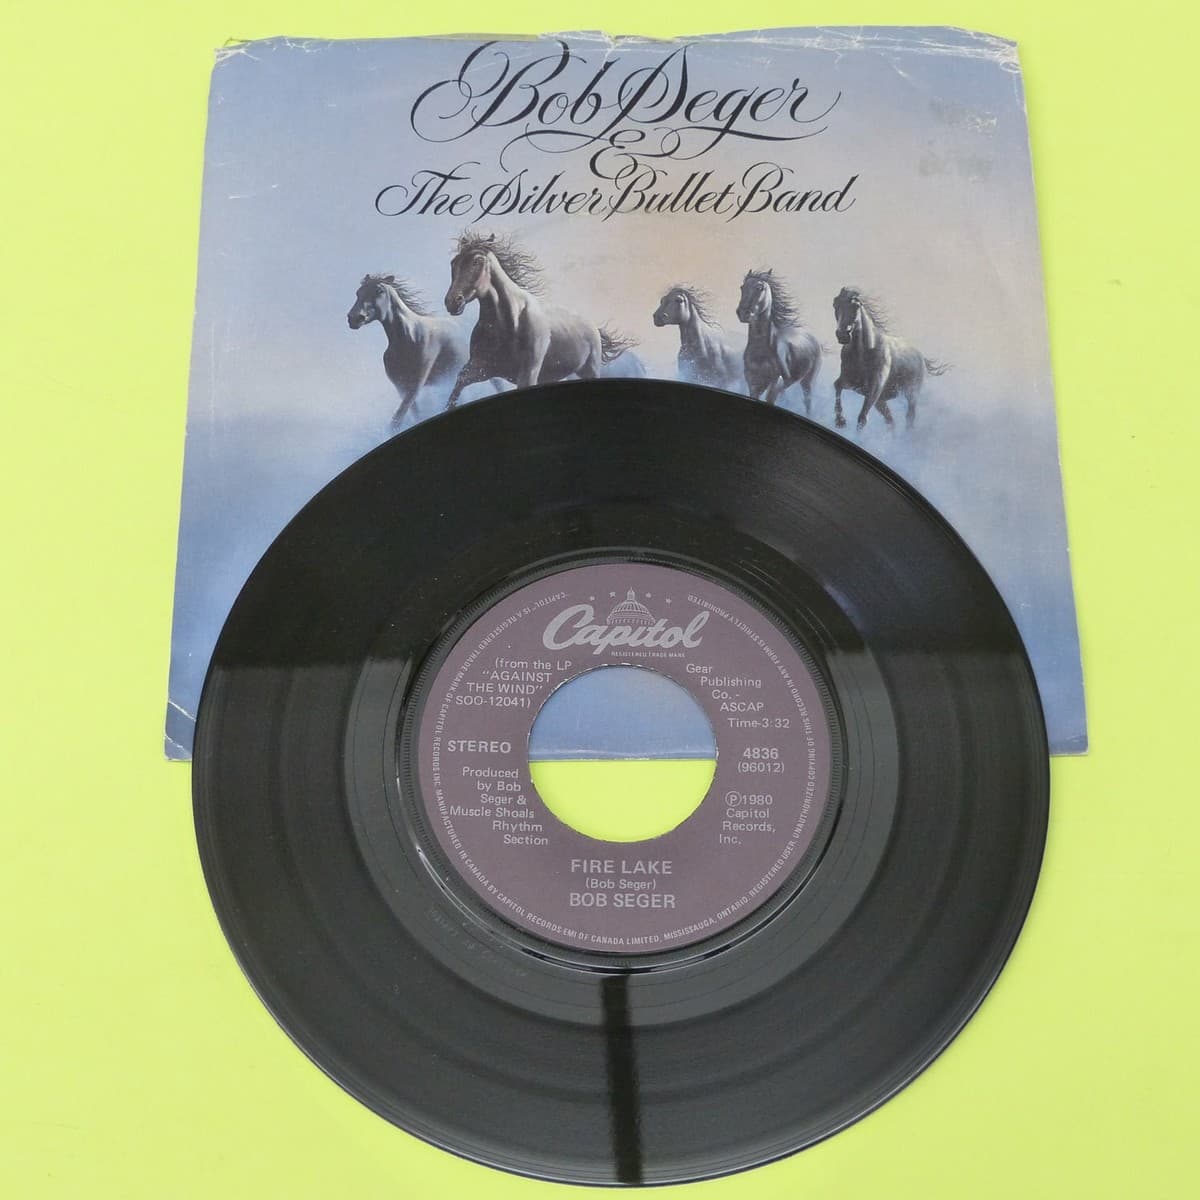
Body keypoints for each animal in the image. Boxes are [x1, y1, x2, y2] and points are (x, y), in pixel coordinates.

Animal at [346, 274, 470, 427]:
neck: (407, 338)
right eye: (358, 293)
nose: (353, 318)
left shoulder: (415, 384)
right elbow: (410, 415)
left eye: (379, 291)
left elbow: (398, 418)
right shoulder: (401, 387)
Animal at [443, 231, 639, 407]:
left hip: (589, 370)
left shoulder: (528, 372)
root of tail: (594, 328)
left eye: (477, 261)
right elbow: (458, 385)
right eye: (454, 263)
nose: (452, 302)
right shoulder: (481, 368)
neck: (505, 323)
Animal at [736, 269, 822, 412]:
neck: (761, 351)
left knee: (808, 401)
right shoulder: (753, 383)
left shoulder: (776, 382)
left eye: (760, 288)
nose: (743, 313)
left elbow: (770, 399)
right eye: (742, 288)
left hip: (807, 382)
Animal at [832, 287, 949, 430]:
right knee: (890, 421)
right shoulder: (851, 383)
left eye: (856, 306)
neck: (863, 353)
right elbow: (837, 385)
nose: (842, 335)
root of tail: (921, 357)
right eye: (835, 304)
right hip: (881, 402)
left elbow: (862, 419)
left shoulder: (873, 391)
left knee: (909, 418)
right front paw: (840, 421)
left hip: (910, 396)